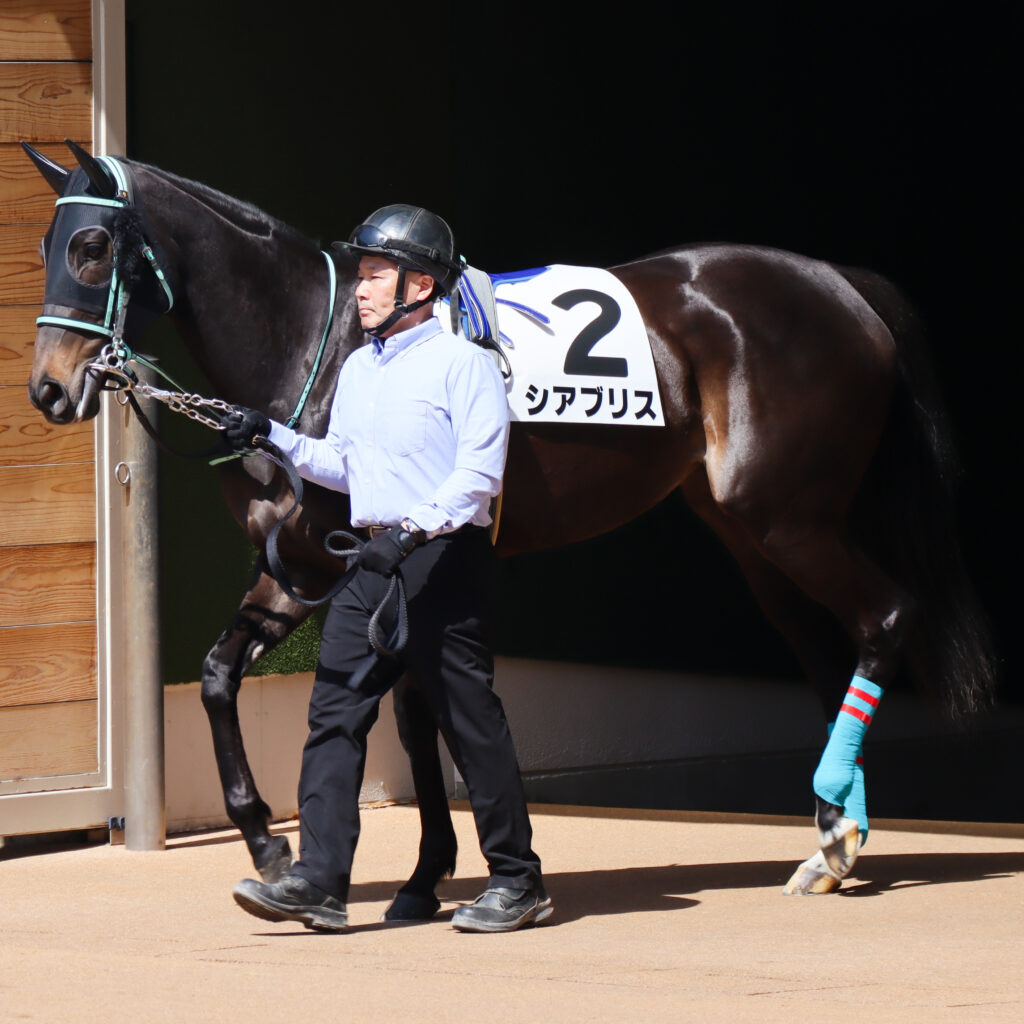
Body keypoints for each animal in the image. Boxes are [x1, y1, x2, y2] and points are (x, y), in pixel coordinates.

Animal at [21, 140, 996, 906]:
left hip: (790, 519)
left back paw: (833, 832)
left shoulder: (354, 564)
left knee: (886, 619)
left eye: (93, 245)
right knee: (831, 652)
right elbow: (229, 679)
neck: (320, 342)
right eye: (45, 244)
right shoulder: (301, 564)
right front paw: (279, 843)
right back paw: (835, 837)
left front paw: (411, 869)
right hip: (754, 537)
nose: (49, 390)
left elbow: (407, 711)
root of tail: (840, 283)